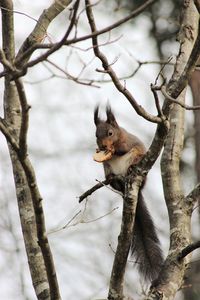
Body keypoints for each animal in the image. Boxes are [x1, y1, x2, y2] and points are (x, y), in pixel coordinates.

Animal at [94, 105, 164, 282]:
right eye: (96, 135)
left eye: (110, 133)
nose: (102, 146)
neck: (119, 136)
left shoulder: (128, 141)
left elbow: (123, 148)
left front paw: (114, 149)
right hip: (106, 167)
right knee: (111, 176)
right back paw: (113, 180)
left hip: (137, 158)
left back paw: (131, 169)